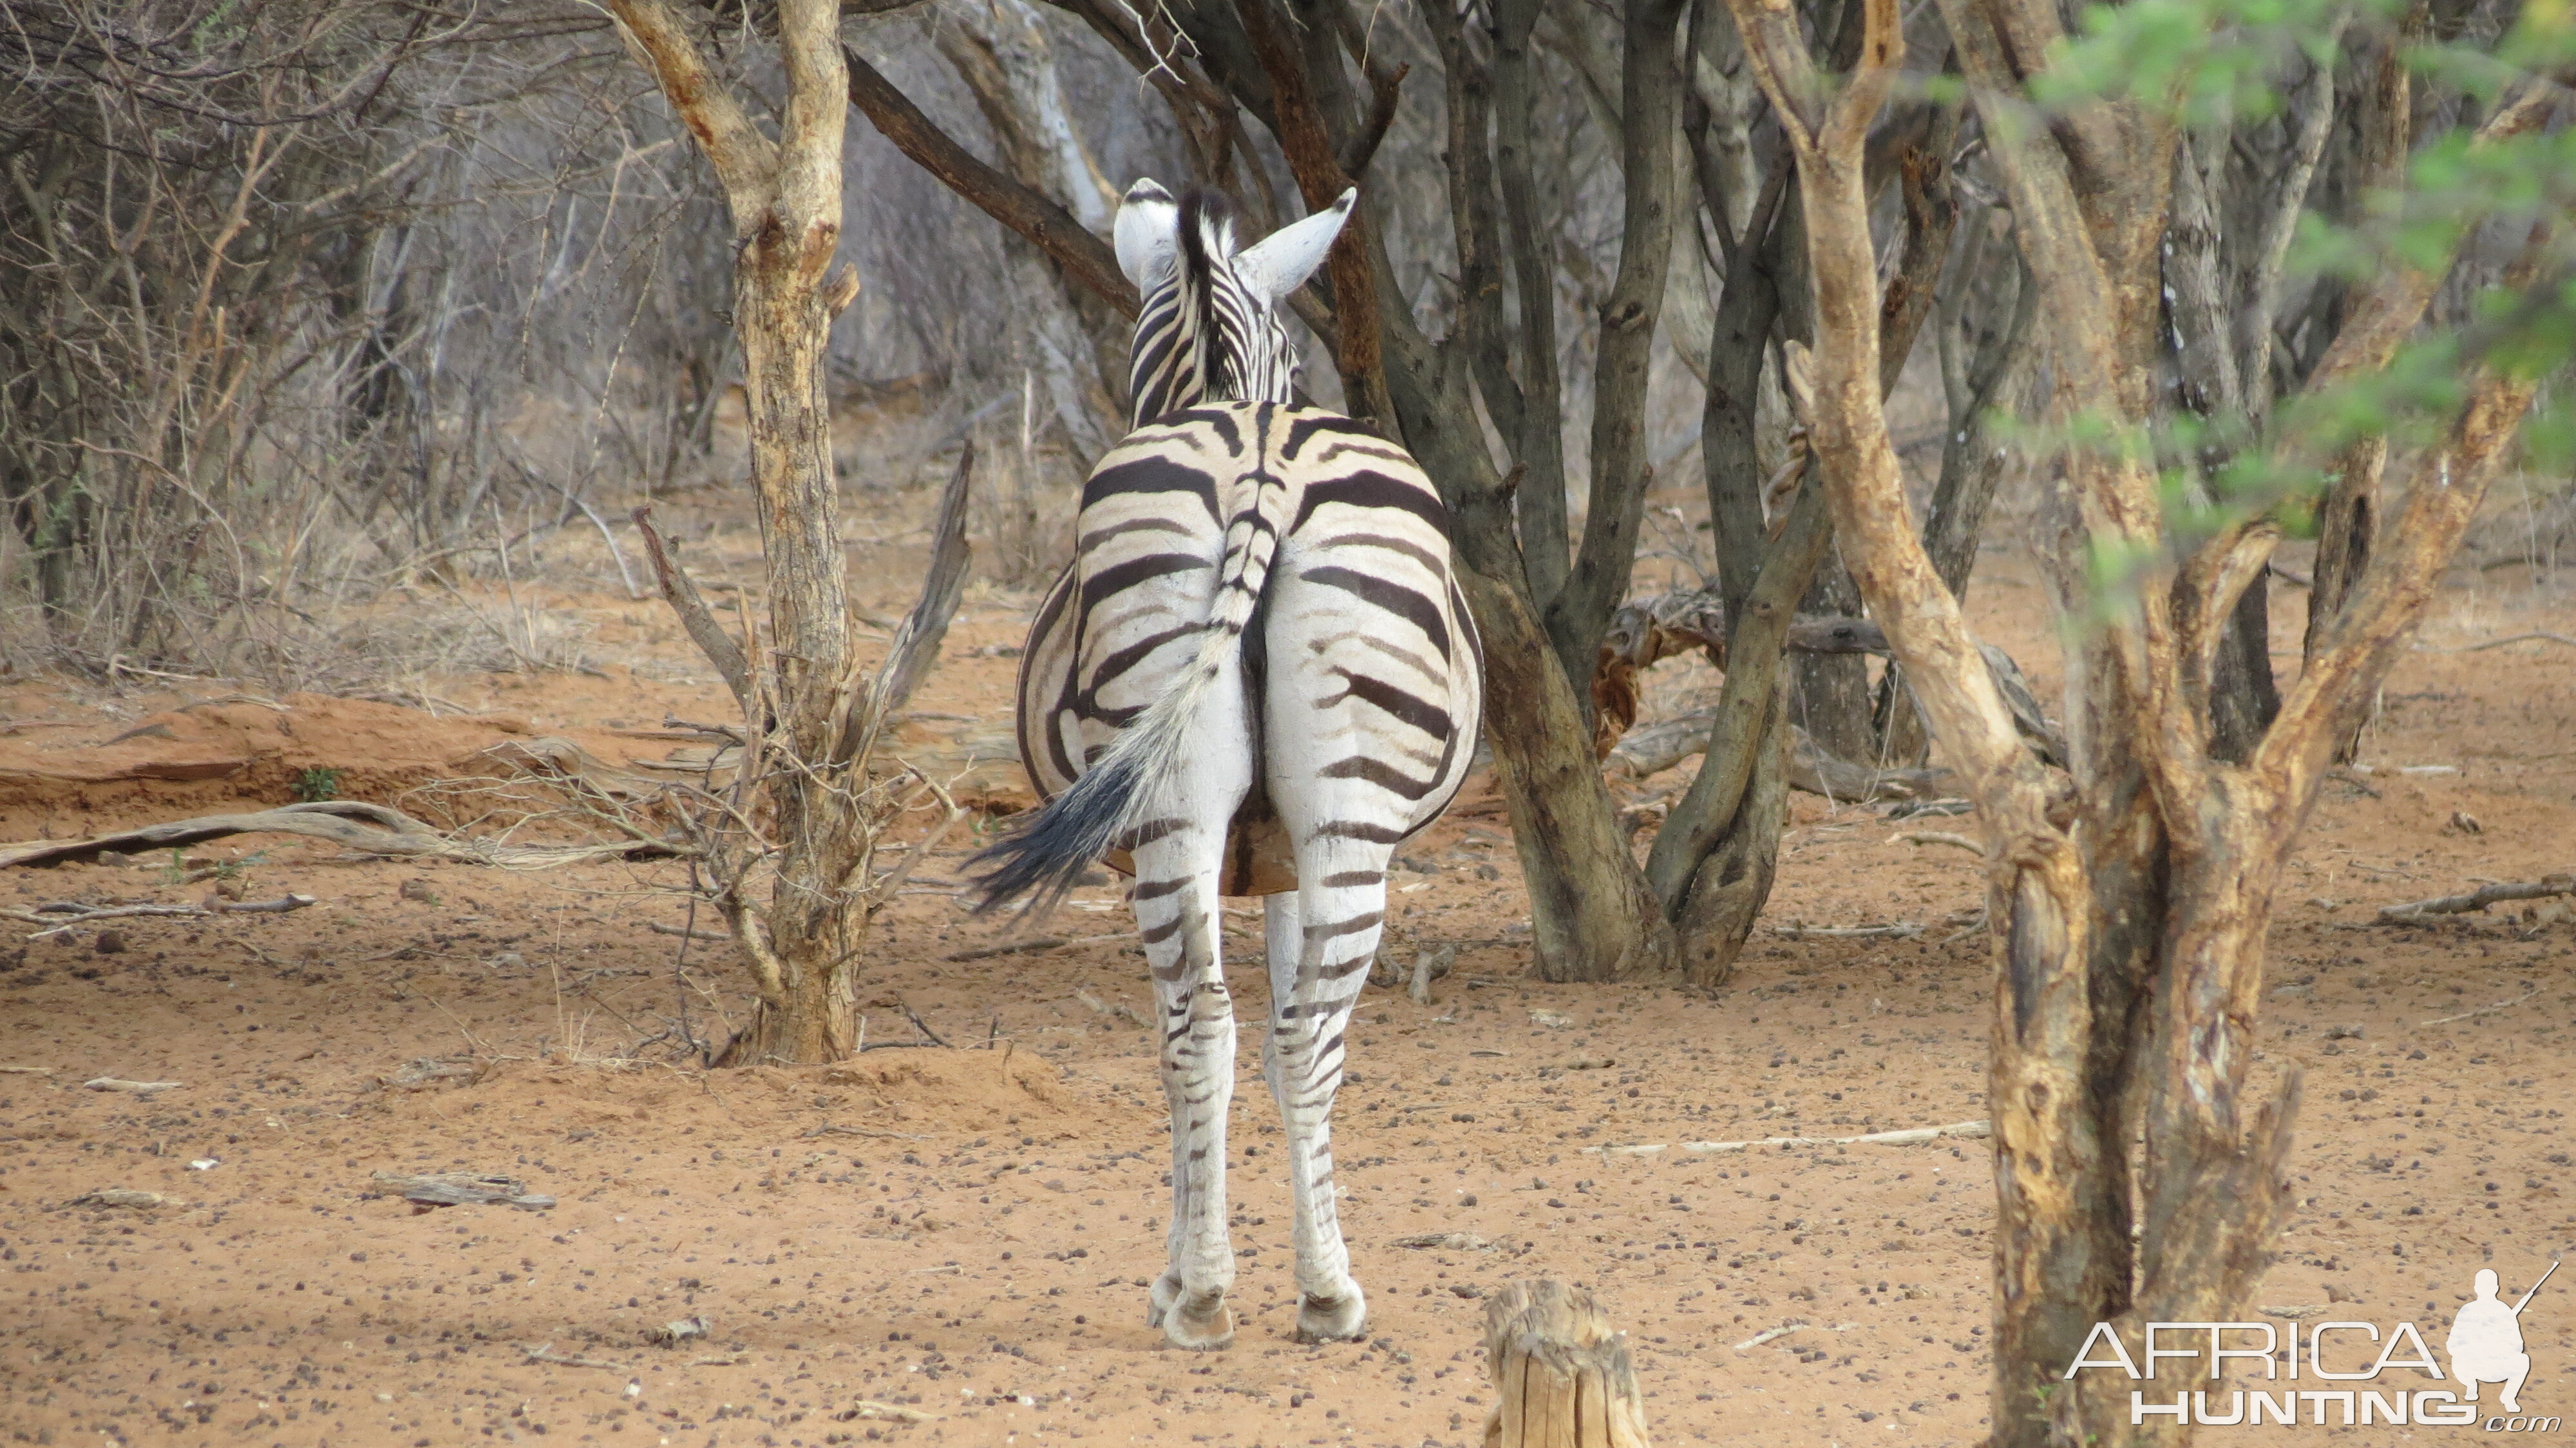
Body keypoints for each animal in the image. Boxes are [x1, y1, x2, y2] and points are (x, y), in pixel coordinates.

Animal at [969, 180, 1494, 1340]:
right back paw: (1303, 1288)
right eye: (1298, 354)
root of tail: (1261, 458)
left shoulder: (1265, 857)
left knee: (1207, 1027)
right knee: (1288, 1033)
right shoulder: (1284, 858)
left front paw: (1183, 1265)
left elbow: (1205, 1038)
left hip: (1188, 810)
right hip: (1329, 817)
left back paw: (1219, 1291)